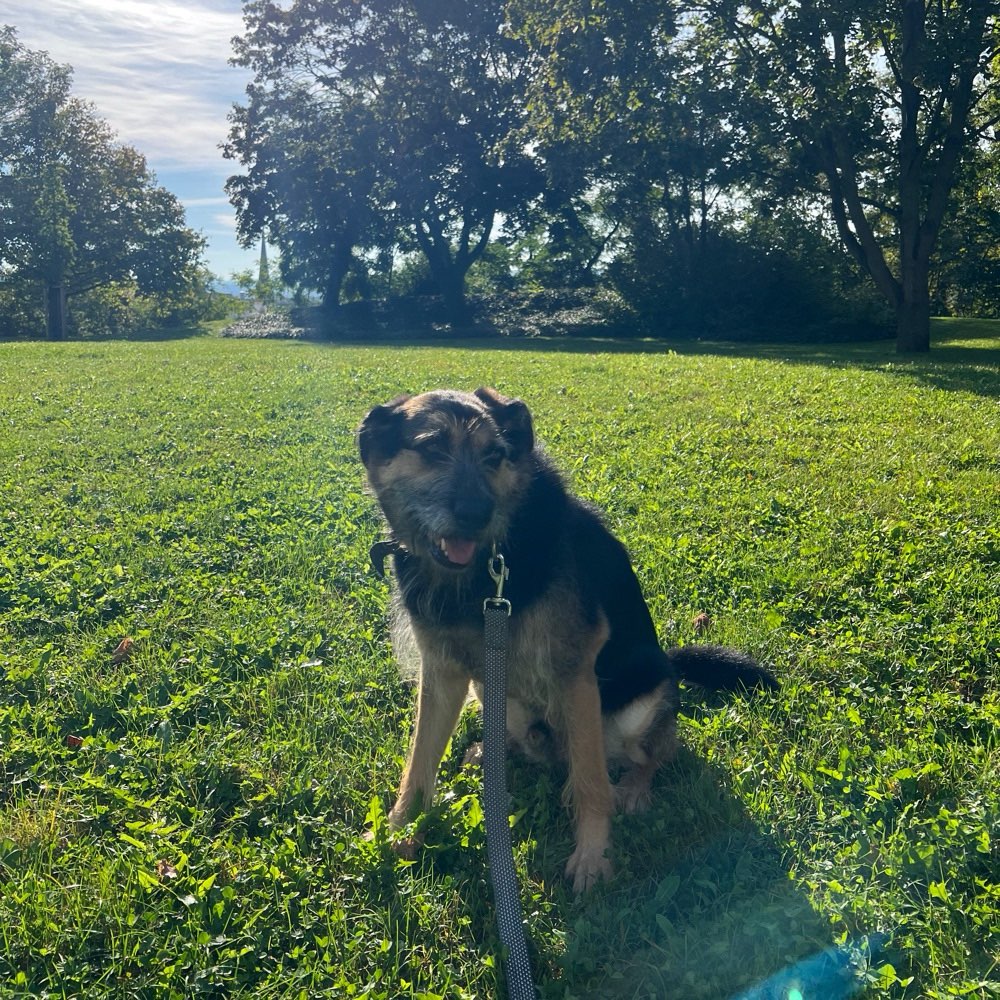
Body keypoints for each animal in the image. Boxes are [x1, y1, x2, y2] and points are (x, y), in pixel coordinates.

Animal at [356, 388, 776, 892]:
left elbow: (592, 784)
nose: (479, 515)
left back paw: (633, 787)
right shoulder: (442, 672)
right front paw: (399, 830)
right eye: (432, 447)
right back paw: (492, 750)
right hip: (488, 687)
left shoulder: (574, 673)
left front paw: (593, 856)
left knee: (654, 749)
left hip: (636, 704)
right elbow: (418, 762)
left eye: (494, 456)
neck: (485, 571)